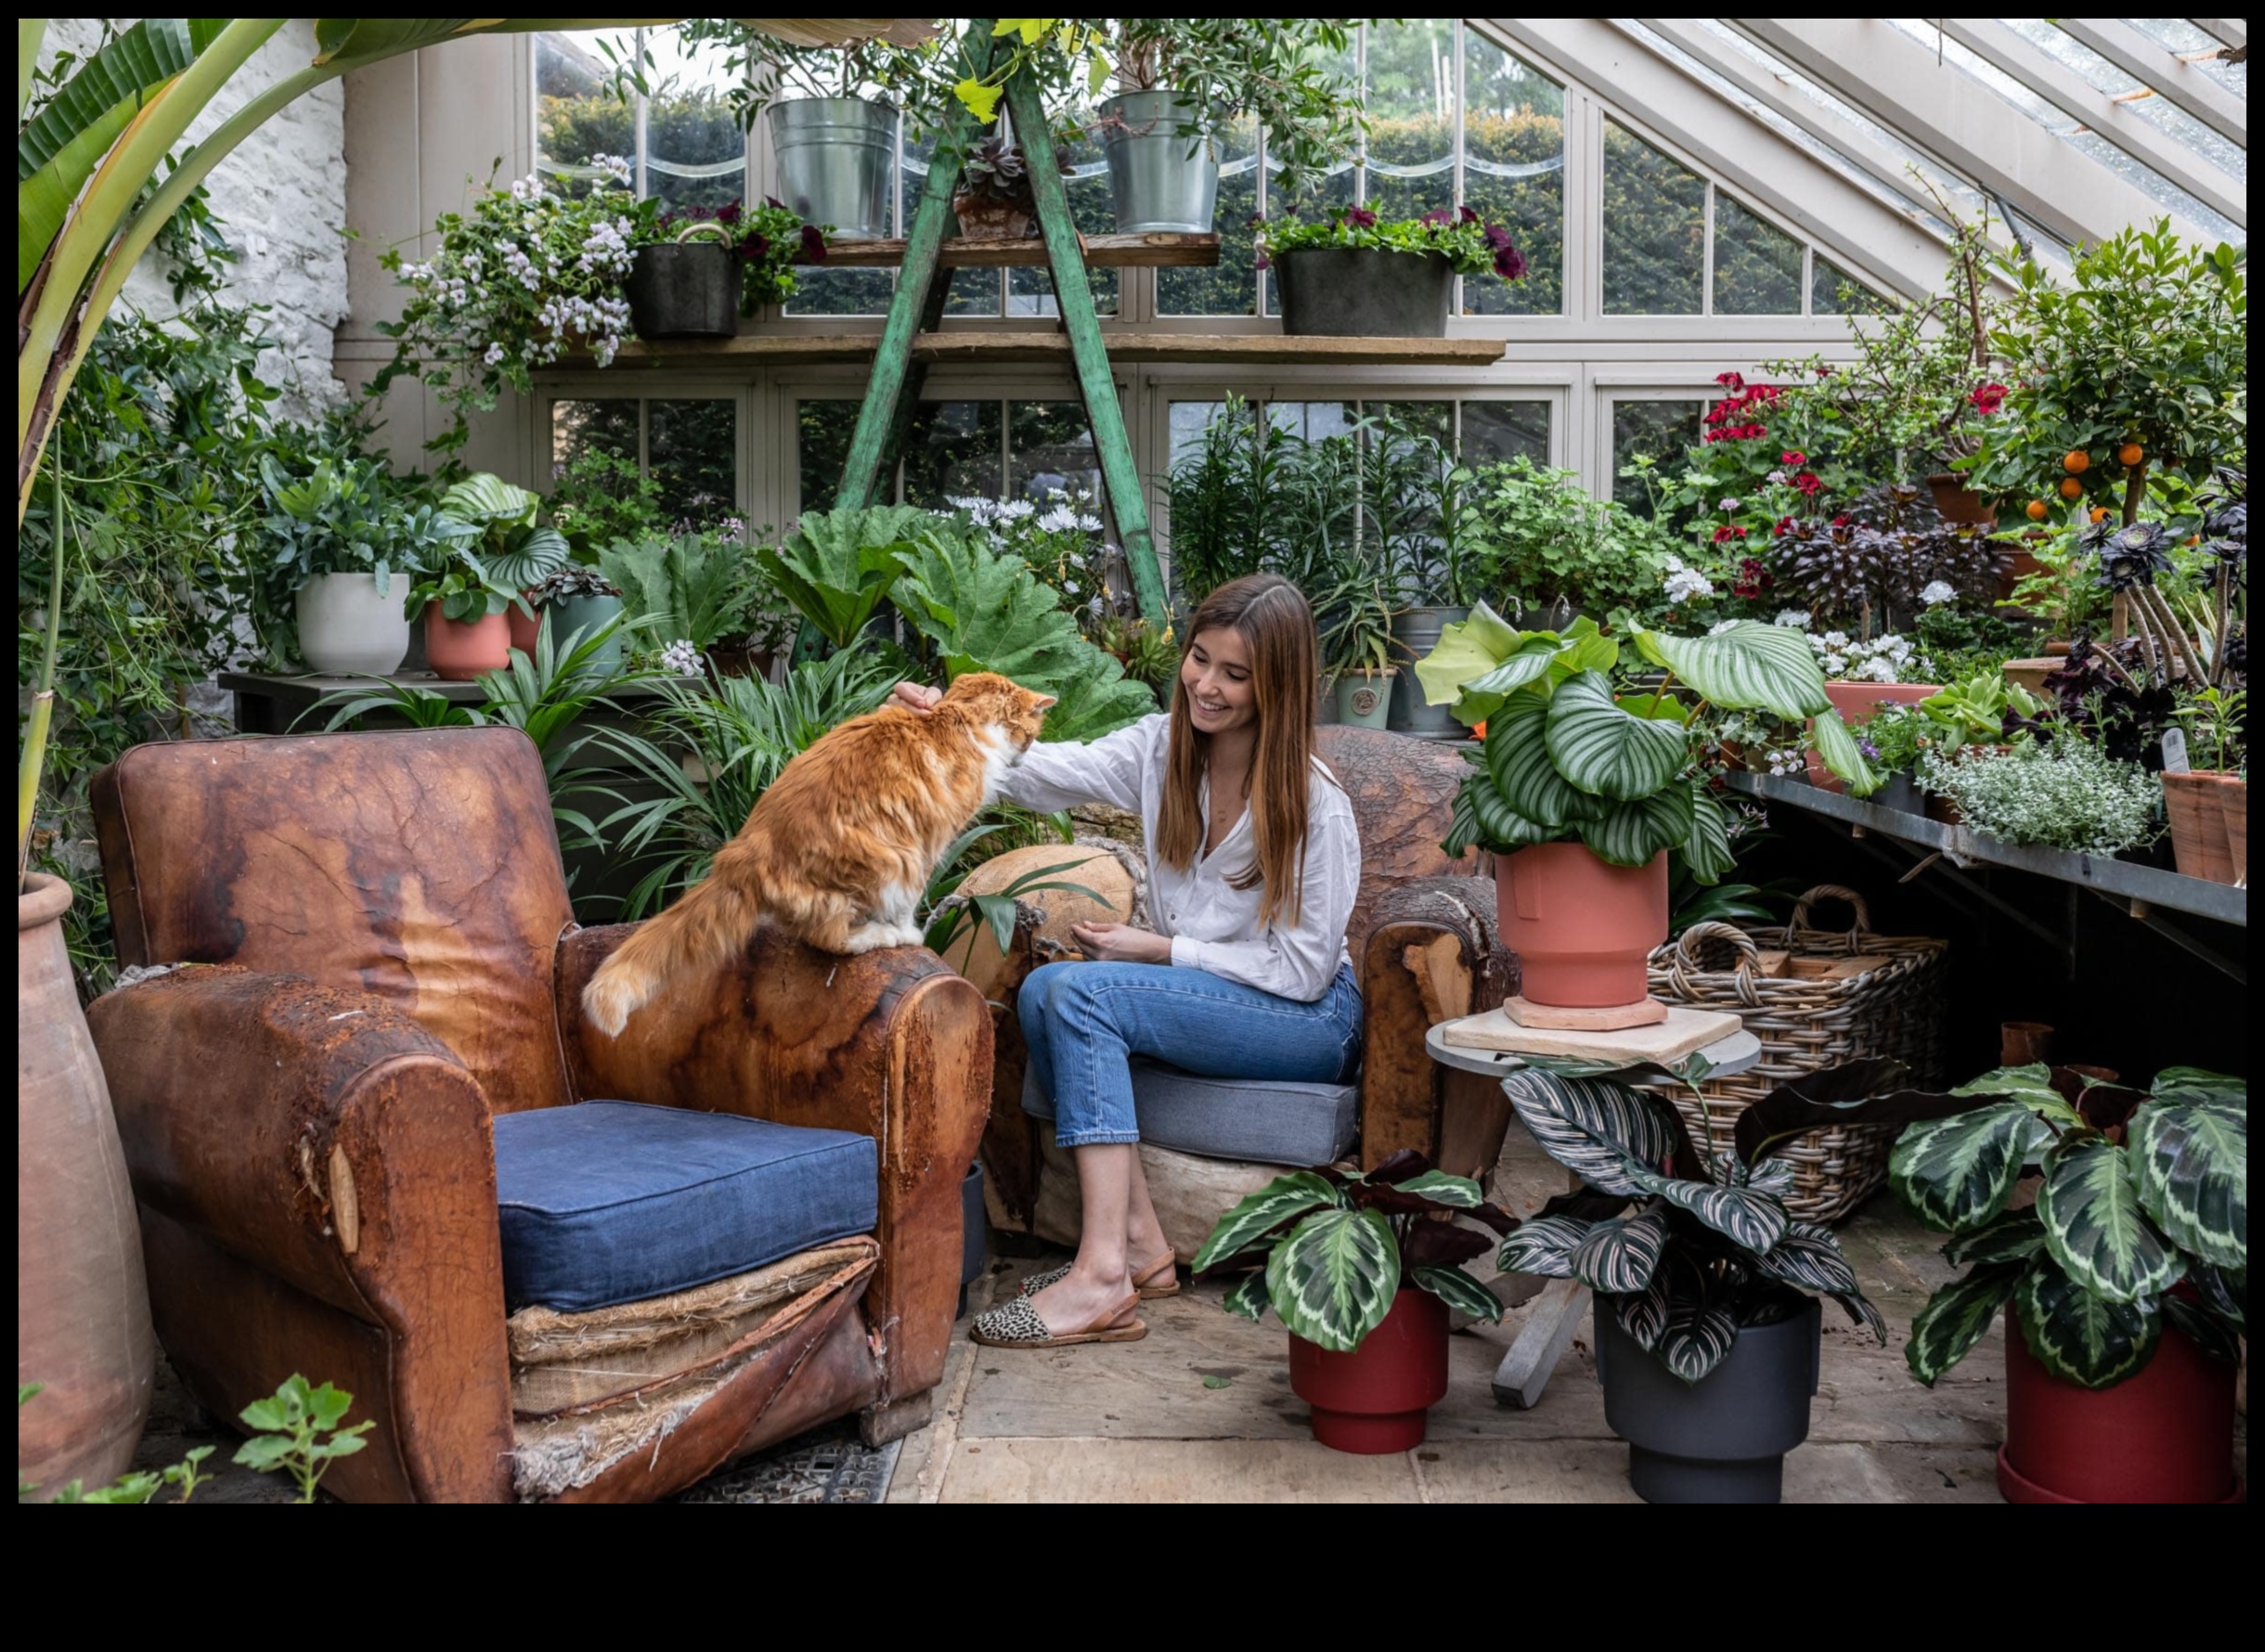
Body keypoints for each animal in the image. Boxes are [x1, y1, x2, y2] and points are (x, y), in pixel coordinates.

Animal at [579, 665, 1046, 1031]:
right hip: (888, 864)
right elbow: (910, 904)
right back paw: (882, 935)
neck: (961, 716)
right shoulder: (926, 846)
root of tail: (745, 851)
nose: (1026, 758)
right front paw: (911, 932)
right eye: (1029, 736)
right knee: (831, 938)